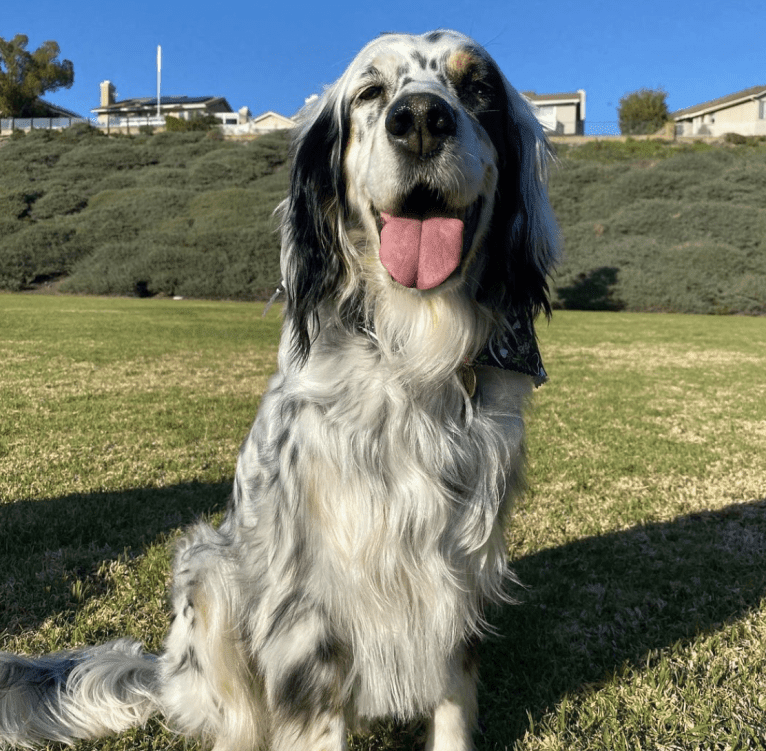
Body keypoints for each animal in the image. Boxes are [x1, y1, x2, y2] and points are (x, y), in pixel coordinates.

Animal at [0, 29, 560, 751]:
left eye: (478, 87)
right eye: (371, 93)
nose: (420, 120)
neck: (413, 354)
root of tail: (165, 673)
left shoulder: (460, 569)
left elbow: (454, 705)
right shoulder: (310, 596)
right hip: (210, 571)